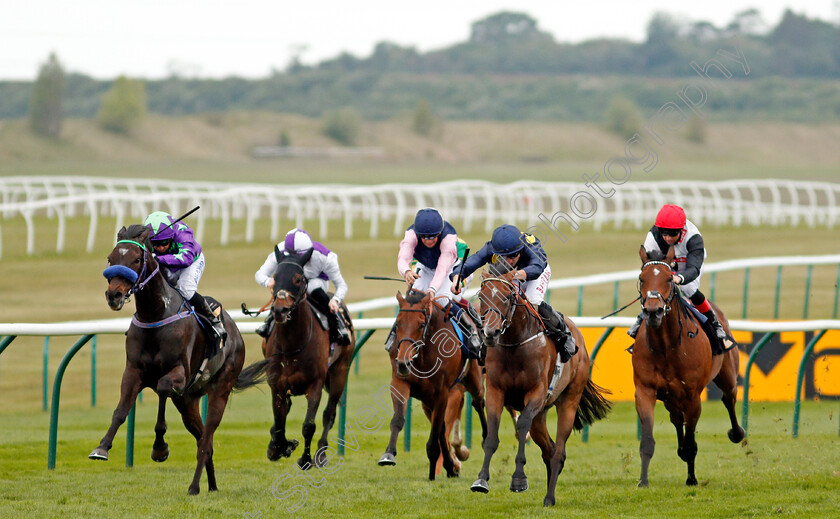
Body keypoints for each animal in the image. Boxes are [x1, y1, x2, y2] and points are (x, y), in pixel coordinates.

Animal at [91, 225, 266, 498]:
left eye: (136, 260)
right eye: (111, 259)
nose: (114, 295)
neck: (155, 314)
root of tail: (235, 332)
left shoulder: (179, 374)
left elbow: (163, 389)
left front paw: (159, 448)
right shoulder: (133, 372)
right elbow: (120, 411)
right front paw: (102, 447)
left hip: (220, 389)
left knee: (206, 440)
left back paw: (194, 487)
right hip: (187, 401)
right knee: (204, 439)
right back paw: (211, 486)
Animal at [262, 250, 354, 470]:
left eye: (298, 279)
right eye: (275, 278)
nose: (280, 310)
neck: (292, 344)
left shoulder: (315, 384)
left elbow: (308, 425)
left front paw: (305, 459)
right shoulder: (277, 385)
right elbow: (279, 422)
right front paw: (278, 447)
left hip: (340, 371)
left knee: (329, 414)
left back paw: (321, 453)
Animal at [378, 290, 488, 482]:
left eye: (421, 325)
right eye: (398, 324)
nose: (403, 363)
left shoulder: (442, 393)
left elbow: (435, 434)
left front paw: (433, 471)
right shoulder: (400, 383)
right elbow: (398, 420)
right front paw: (389, 454)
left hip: (473, 380)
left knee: (478, 402)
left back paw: (485, 439)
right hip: (427, 400)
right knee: (443, 426)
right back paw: (451, 466)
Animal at [472, 262, 612, 506]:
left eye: (507, 296)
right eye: (482, 296)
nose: (490, 333)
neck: (515, 345)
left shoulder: (536, 393)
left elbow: (521, 425)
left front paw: (519, 479)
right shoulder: (496, 392)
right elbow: (491, 437)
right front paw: (481, 480)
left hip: (568, 402)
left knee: (558, 451)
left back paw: (549, 497)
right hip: (541, 415)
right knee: (549, 449)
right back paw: (550, 494)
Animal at [632, 246, 744, 490]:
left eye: (668, 278)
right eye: (642, 278)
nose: (653, 311)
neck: (666, 346)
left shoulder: (693, 396)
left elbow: (692, 443)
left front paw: (691, 478)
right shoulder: (645, 391)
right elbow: (647, 440)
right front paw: (643, 481)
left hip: (727, 375)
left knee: (729, 398)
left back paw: (737, 433)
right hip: (670, 397)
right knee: (676, 418)